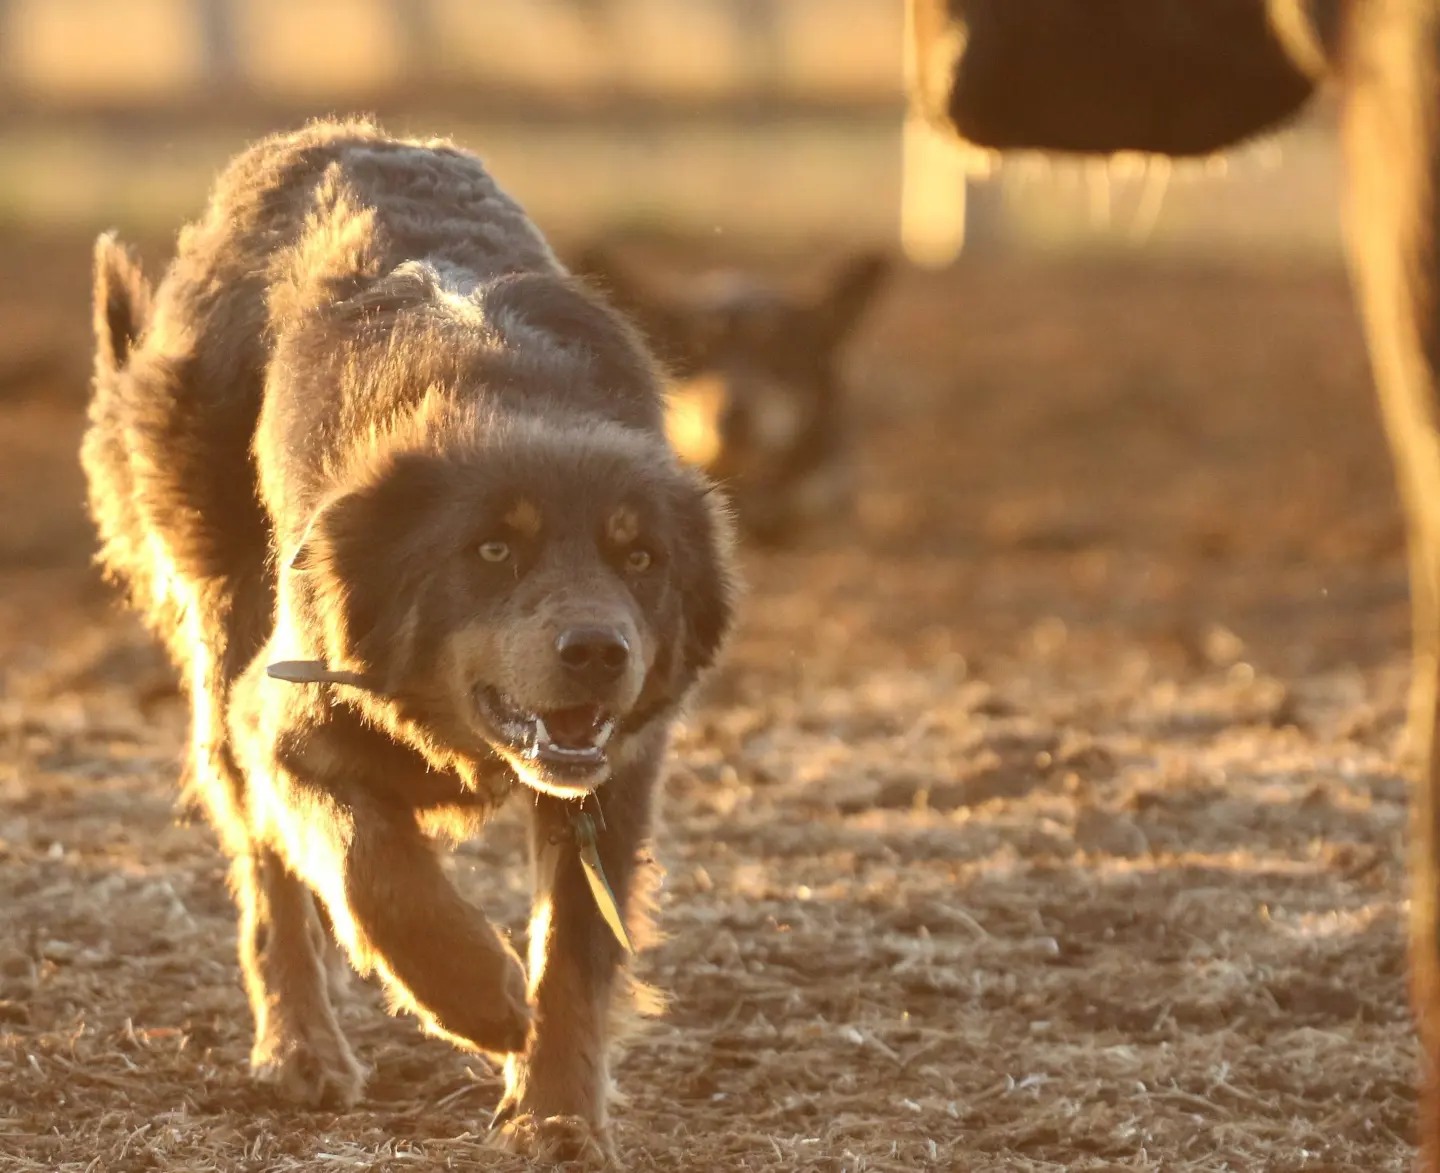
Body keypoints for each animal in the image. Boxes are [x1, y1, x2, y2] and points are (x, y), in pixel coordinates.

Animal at [80, 114, 737, 1162]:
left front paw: (554, 1112)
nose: (601, 652)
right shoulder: (287, 716)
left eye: (640, 558)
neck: (505, 390)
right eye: (494, 549)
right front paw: (478, 994)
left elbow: (573, 951)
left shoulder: (613, 783)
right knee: (269, 874)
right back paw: (302, 1049)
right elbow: (371, 869)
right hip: (222, 638)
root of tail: (330, 135)